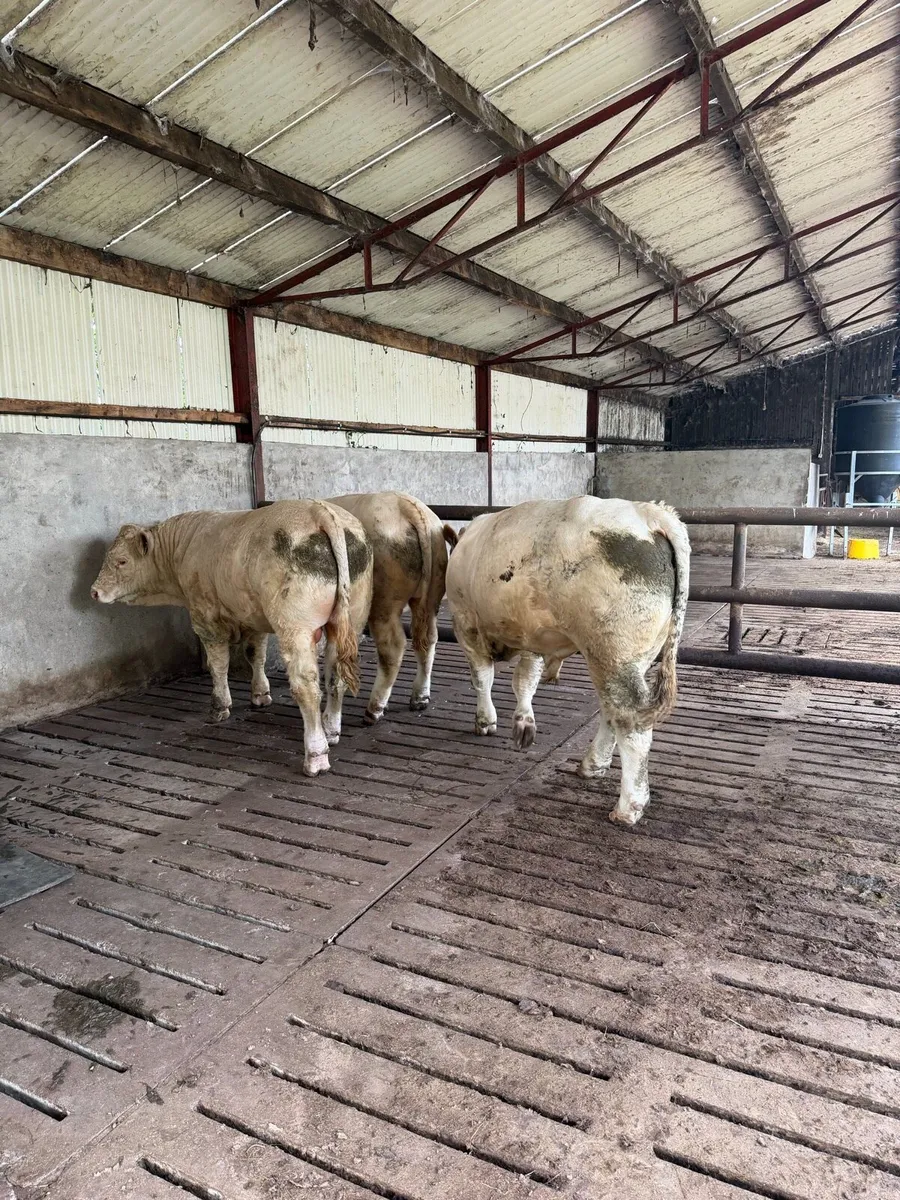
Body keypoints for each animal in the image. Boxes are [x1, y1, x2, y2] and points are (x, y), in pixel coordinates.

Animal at [90, 501, 373, 777]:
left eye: (122, 561)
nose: (94, 591)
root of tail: (320, 510)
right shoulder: (253, 616)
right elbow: (255, 654)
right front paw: (260, 694)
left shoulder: (205, 618)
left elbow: (218, 665)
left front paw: (219, 707)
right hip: (352, 619)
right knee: (336, 676)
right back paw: (331, 730)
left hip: (295, 627)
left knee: (307, 687)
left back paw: (316, 756)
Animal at [328, 492, 457, 724]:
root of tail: (409, 506)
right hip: (432, 592)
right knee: (428, 638)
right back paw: (419, 699)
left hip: (384, 599)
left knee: (393, 646)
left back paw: (374, 710)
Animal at [446, 496, 690, 826]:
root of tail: (649, 512)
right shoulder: (531, 635)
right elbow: (525, 680)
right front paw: (523, 723)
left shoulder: (465, 622)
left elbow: (482, 677)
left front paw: (485, 721)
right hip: (628, 656)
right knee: (611, 709)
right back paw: (593, 764)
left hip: (612, 652)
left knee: (630, 719)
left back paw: (628, 807)